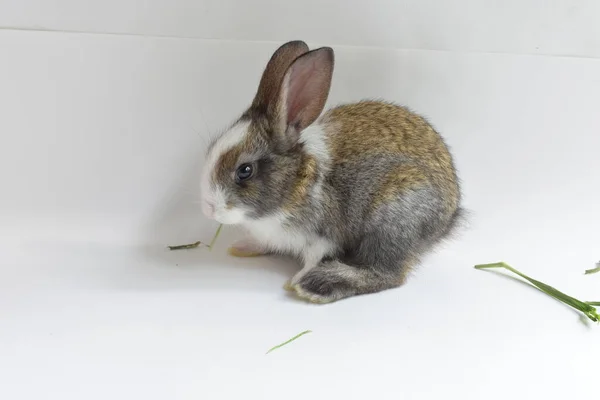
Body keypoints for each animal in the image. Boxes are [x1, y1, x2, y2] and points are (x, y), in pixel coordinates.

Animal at [199, 40, 462, 304]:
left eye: (245, 171)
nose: (208, 209)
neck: (295, 184)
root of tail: (450, 216)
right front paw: (242, 248)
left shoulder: (323, 237)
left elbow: (314, 258)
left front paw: (294, 281)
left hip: (391, 220)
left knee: (388, 273)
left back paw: (318, 284)